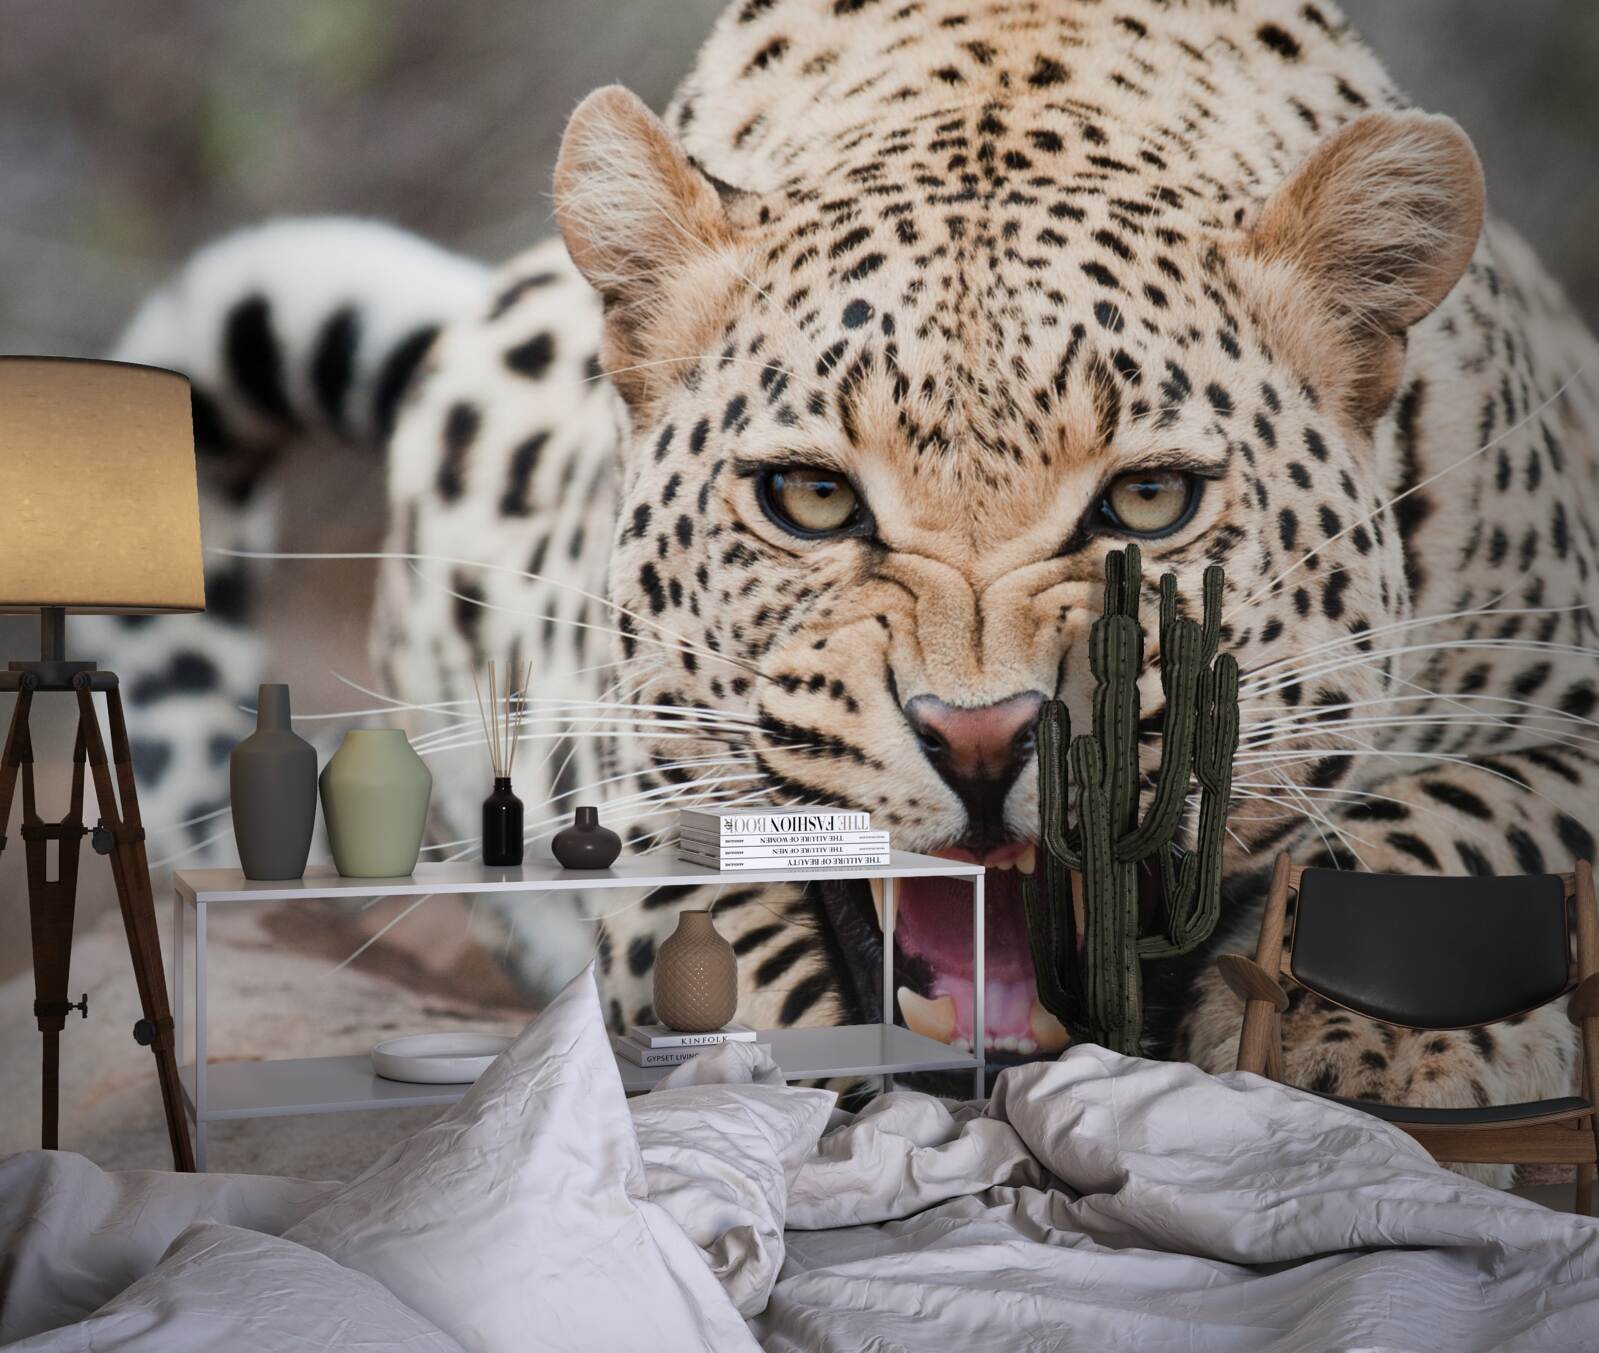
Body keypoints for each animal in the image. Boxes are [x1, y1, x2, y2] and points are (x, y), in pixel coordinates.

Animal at [107, 0, 1599, 1186]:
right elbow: (728, 954)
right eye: (810, 500)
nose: (984, 742)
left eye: (1149, 505)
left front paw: (1369, 1050)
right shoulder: (625, 807)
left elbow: (1444, 822)